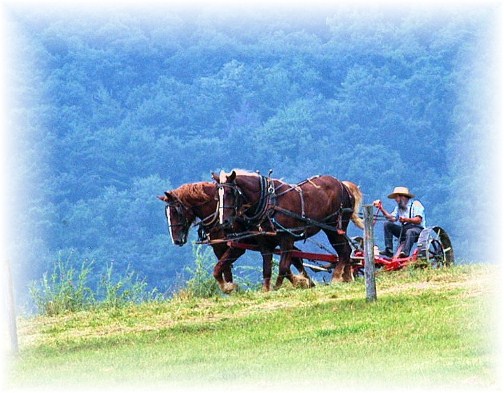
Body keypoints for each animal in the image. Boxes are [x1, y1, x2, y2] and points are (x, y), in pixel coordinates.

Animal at [158, 181, 312, 290]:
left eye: (176, 211)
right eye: (166, 214)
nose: (176, 240)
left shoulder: (237, 247)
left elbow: (217, 269)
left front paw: (229, 288)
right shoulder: (219, 249)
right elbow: (223, 271)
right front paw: (230, 288)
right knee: (295, 256)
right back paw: (306, 282)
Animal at [215, 169, 364, 288]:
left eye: (230, 192)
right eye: (218, 196)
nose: (224, 222)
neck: (270, 203)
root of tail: (344, 185)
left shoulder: (287, 239)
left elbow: (283, 267)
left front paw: (280, 287)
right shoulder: (265, 243)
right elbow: (267, 269)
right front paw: (266, 291)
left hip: (334, 227)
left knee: (344, 251)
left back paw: (336, 278)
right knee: (345, 251)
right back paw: (346, 277)